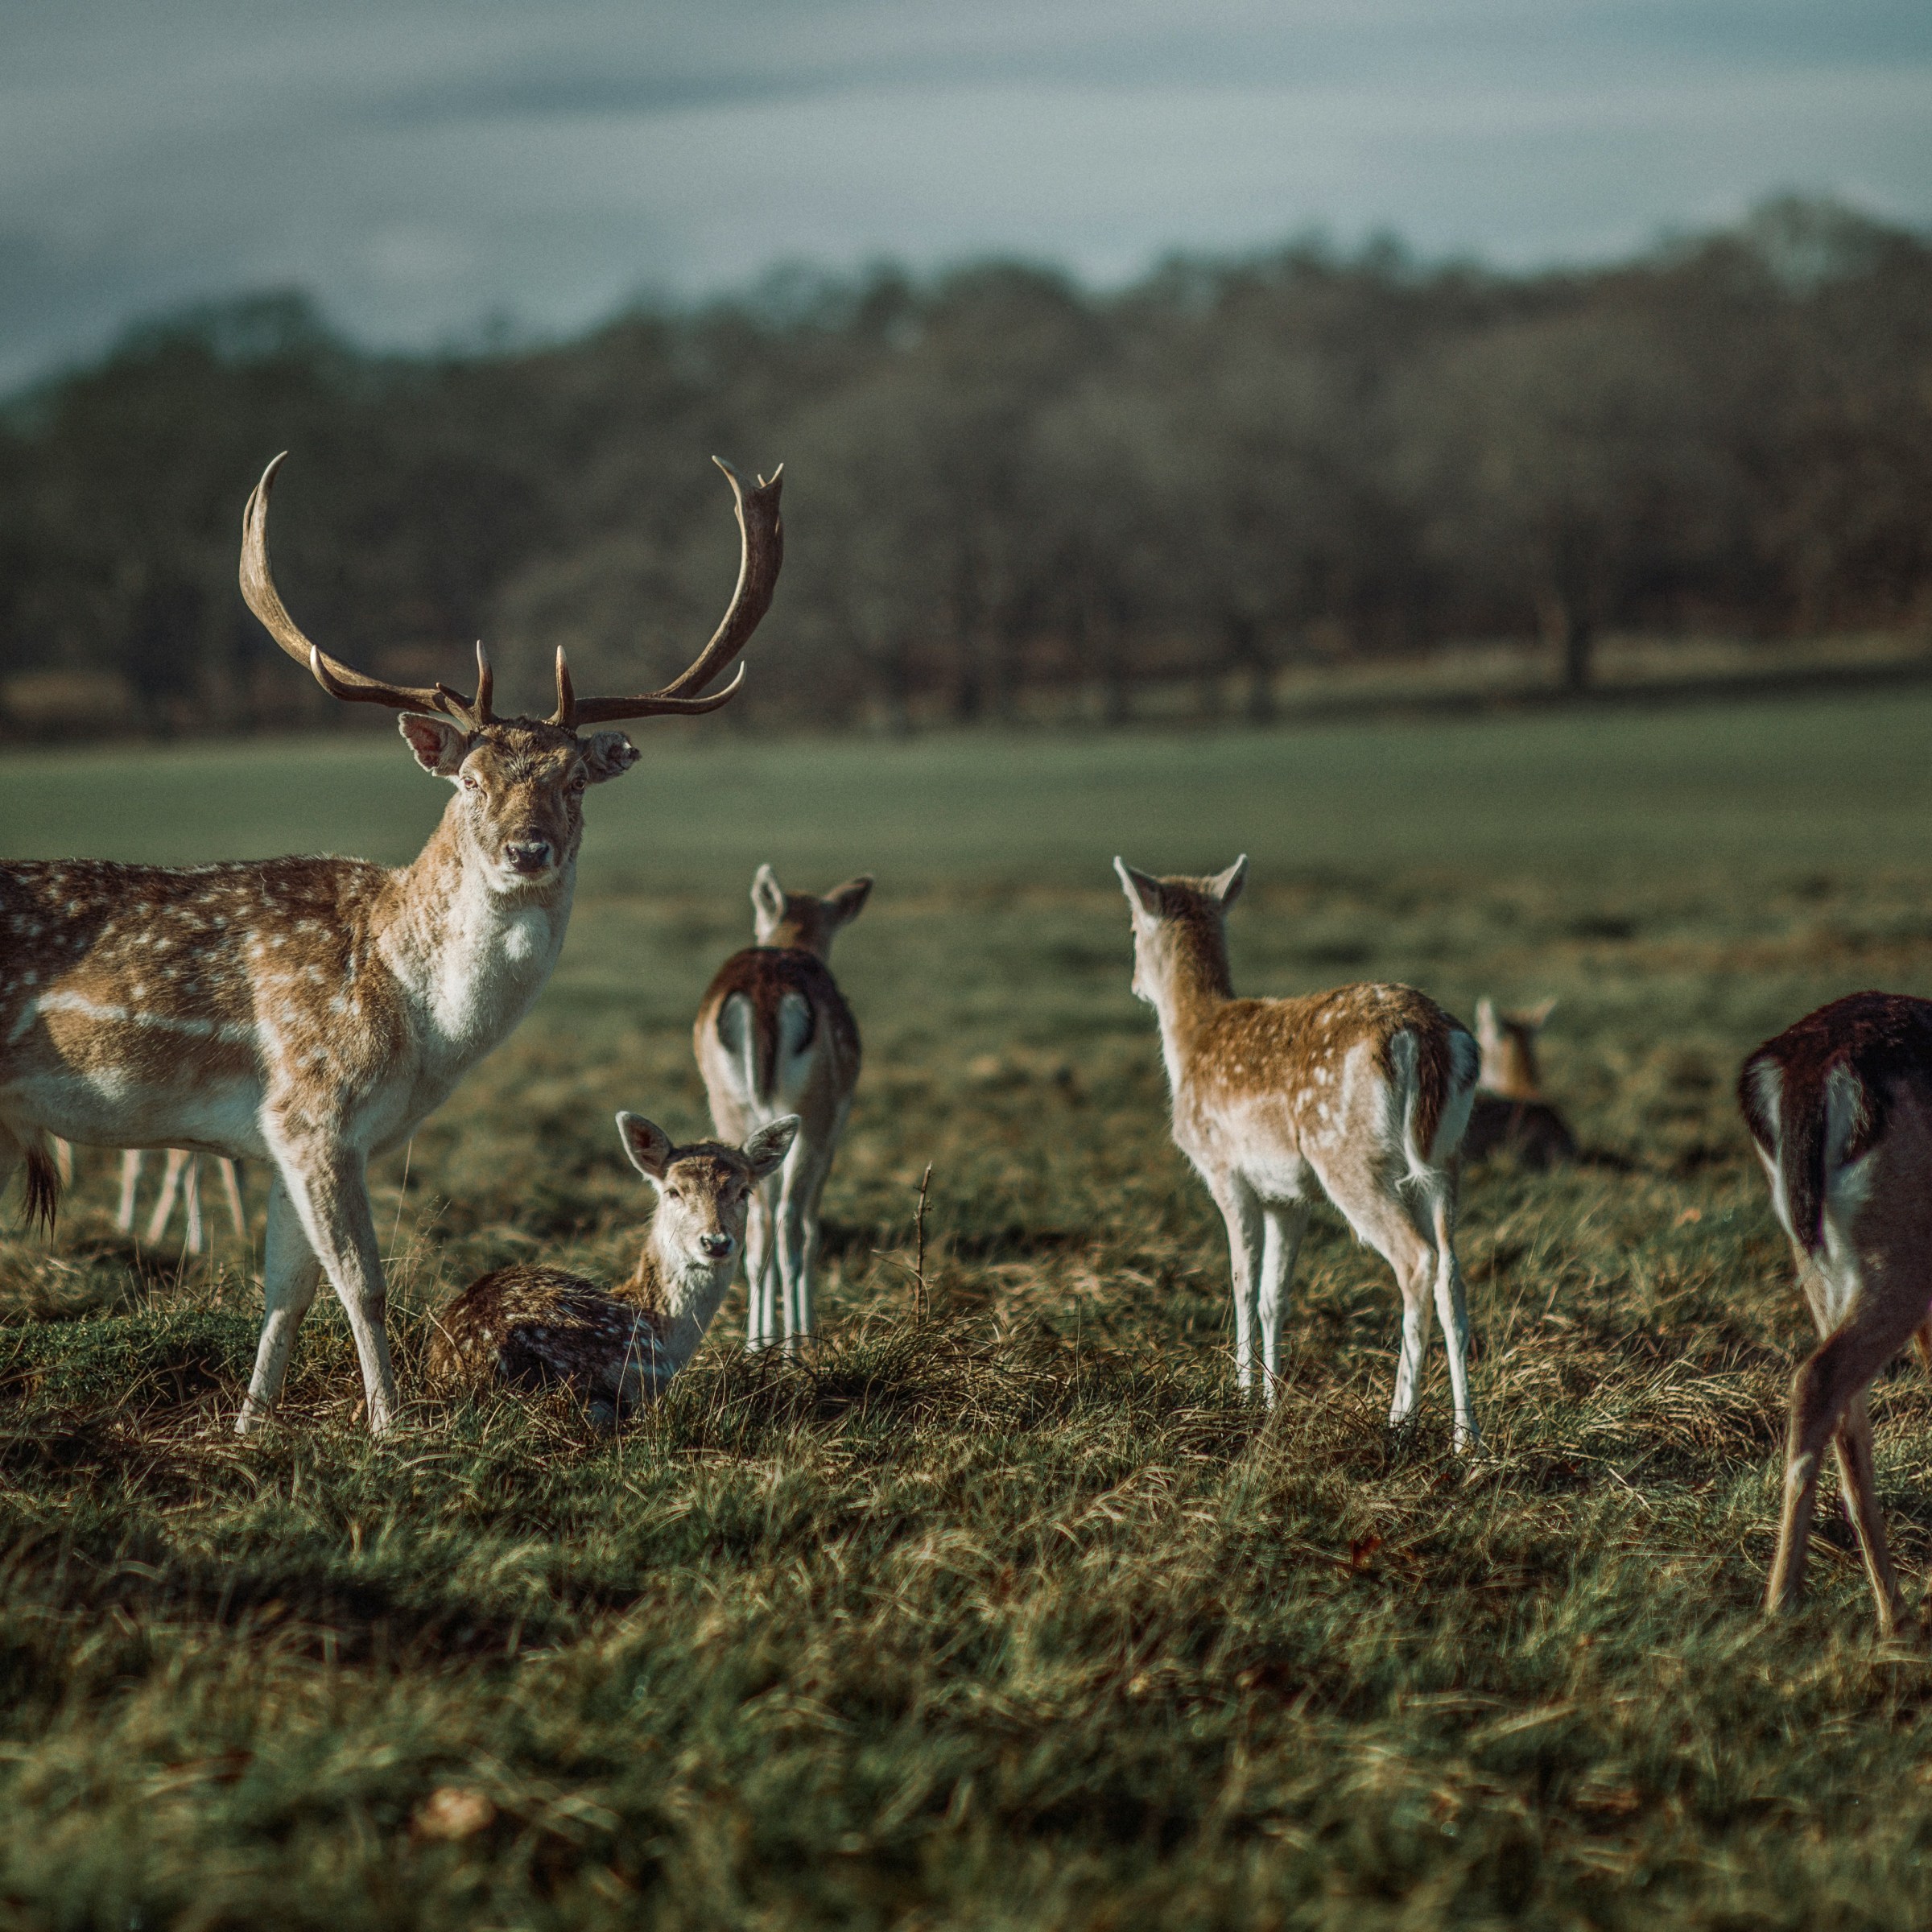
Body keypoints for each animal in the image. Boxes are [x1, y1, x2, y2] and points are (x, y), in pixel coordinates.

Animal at [694, 865, 870, 1351]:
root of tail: (765, 994)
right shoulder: (832, 1131)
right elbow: (809, 1226)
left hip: (732, 1110)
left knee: (755, 1226)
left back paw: (757, 1346)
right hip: (810, 1116)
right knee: (791, 1222)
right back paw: (795, 1346)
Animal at [1115, 856, 1484, 1450]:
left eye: (1131, 929)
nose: (1134, 985)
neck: (1192, 1040)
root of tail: (1425, 1038)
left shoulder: (1226, 1172)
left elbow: (1241, 1284)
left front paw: (1242, 1396)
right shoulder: (1288, 1196)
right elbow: (1274, 1296)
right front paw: (1271, 1401)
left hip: (1347, 1156)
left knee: (1417, 1261)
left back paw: (1398, 1422)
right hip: (1446, 1160)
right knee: (1452, 1273)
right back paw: (1467, 1440)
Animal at [1738, 991, 1932, 1635]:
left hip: (1821, 1268)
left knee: (1847, 1417)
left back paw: (1893, 1610)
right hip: (1899, 1261)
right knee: (1820, 1380)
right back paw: (1783, 1602)